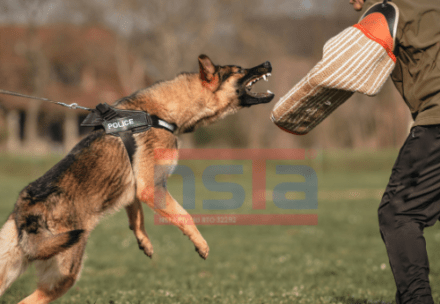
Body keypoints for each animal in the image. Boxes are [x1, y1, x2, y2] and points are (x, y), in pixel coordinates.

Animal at [0, 55, 274, 304]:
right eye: (239, 69)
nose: (268, 64)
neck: (161, 113)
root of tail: (26, 213)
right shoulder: (152, 187)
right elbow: (184, 215)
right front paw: (201, 244)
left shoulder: (134, 188)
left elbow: (137, 216)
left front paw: (144, 241)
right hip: (64, 275)